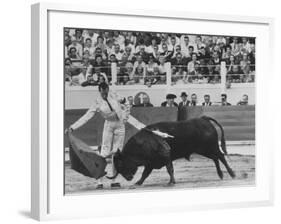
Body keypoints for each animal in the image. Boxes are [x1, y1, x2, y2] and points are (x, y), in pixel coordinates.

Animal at [106, 116, 235, 185]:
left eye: (120, 163)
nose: (128, 178)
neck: (143, 142)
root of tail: (203, 118)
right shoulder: (151, 162)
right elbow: (145, 173)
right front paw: (138, 182)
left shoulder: (165, 155)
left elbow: (169, 169)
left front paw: (171, 182)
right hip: (204, 150)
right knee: (215, 158)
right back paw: (221, 174)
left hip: (210, 147)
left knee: (221, 156)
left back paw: (232, 174)